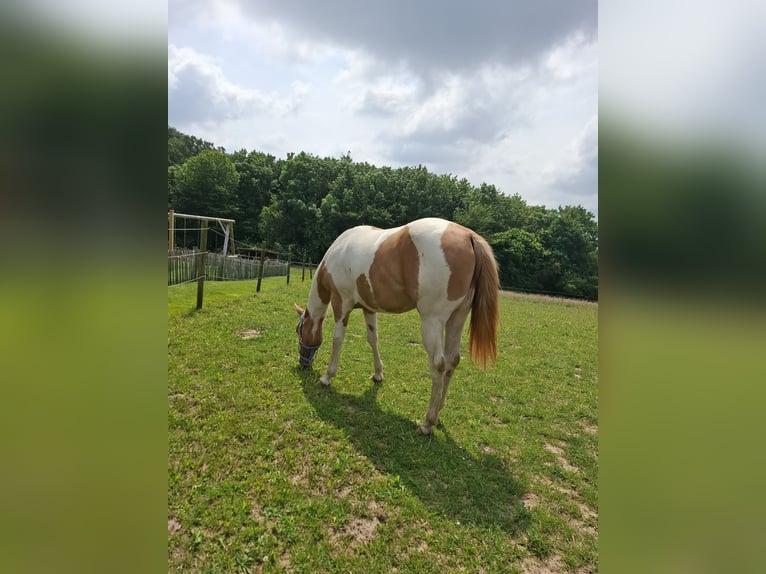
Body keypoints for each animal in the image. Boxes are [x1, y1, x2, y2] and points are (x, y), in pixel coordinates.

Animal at [296, 218, 504, 434]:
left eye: (299, 331)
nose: (303, 363)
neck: (338, 252)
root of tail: (468, 236)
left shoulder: (341, 304)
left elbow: (337, 340)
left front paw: (327, 377)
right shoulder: (369, 309)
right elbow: (373, 339)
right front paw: (378, 374)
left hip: (432, 322)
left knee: (439, 365)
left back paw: (427, 423)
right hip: (457, 318)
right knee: (452, 361)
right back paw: (438, 411)